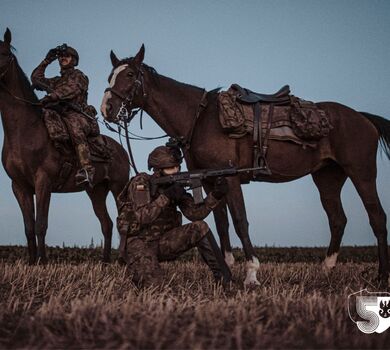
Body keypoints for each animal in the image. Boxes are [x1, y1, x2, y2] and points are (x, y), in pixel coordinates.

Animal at [0, 29, 129, 262]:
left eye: (4, 53)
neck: (25, 130)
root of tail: (121, 150)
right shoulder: (19, 186)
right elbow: (28, 228)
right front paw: (31, 262)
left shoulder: (44, 182)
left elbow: (41, 225)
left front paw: (42, 262)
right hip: (96, 191)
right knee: (106, 223)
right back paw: (105, 262)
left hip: (118, 187)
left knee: (123, 221)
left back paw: (122, 260)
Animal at [101, 44, 390, 284]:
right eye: (110, 76)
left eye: (129, 75)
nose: (107, 108)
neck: (201, 119)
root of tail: (363, 118)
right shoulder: (209, 181)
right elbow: (220, 223)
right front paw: (226, 267)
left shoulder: (230, 179)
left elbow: (240, 221)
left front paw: (251, 273)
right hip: (328, 178)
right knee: (337, 220)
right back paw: (326, 271)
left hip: (362, 174)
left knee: (377, 218)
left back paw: (381, 275)